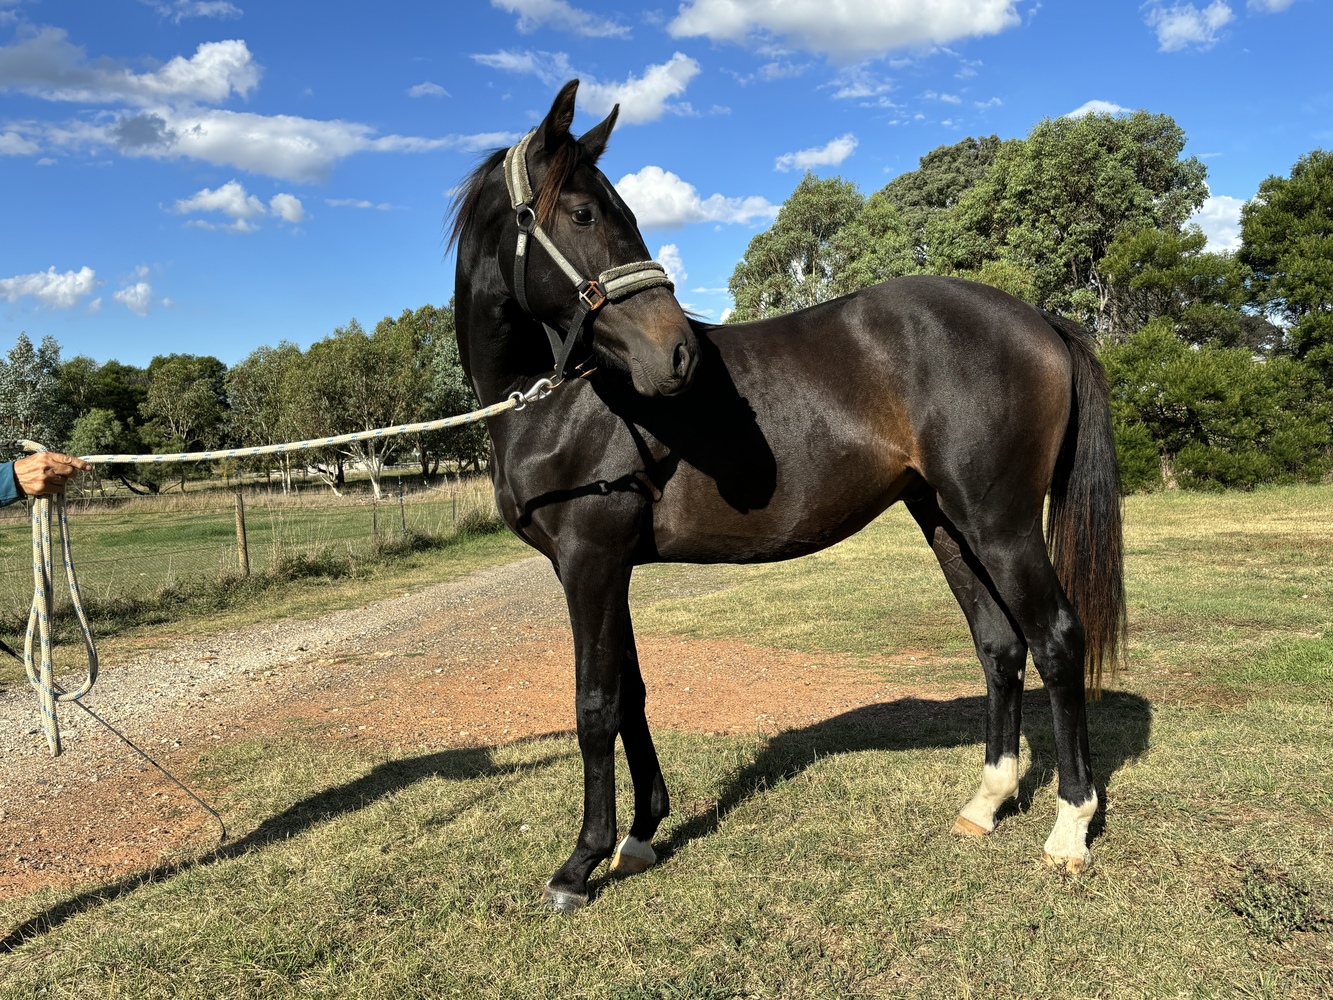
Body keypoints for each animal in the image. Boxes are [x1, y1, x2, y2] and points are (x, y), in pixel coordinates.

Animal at [449, 81, 1125, 912]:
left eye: (616, 212)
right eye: (582, 213)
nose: (677, 355)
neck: (561, 401)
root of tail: (1037, 317)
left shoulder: (589, 562)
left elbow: (595, 704)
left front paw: (581, 861)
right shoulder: (611, 568)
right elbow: (632, 693)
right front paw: (641, 835)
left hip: (1000, 525)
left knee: (1056, 640)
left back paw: (1068, 830)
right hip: (946, 522)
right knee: (999, 646)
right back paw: (984, 804)